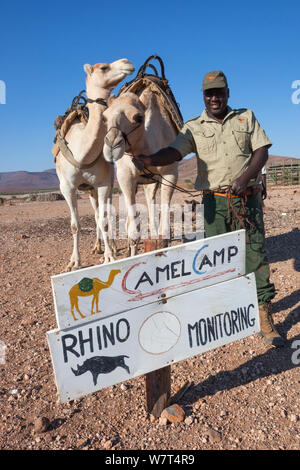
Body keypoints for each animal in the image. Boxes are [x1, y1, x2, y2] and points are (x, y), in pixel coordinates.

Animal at [53, 60, 134, 270]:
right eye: (104, 67)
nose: (127, 63)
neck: (82, 152)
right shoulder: (67, 187)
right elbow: (75, 225)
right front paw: (74, 262)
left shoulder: (104, 183)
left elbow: (105, 220)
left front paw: (109, 257)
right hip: (88, 190)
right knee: (96, 213)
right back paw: (97, 246)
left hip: (105, 185)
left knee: (104, 215)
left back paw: (111, 247)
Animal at [102, 89, 179, 255]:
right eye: (104, 117)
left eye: (138, 118)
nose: (112, 145)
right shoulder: (125, 176)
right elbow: (133, 234)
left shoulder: (171, 173)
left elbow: (164, 233)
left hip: (151, 181)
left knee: (151, 203)